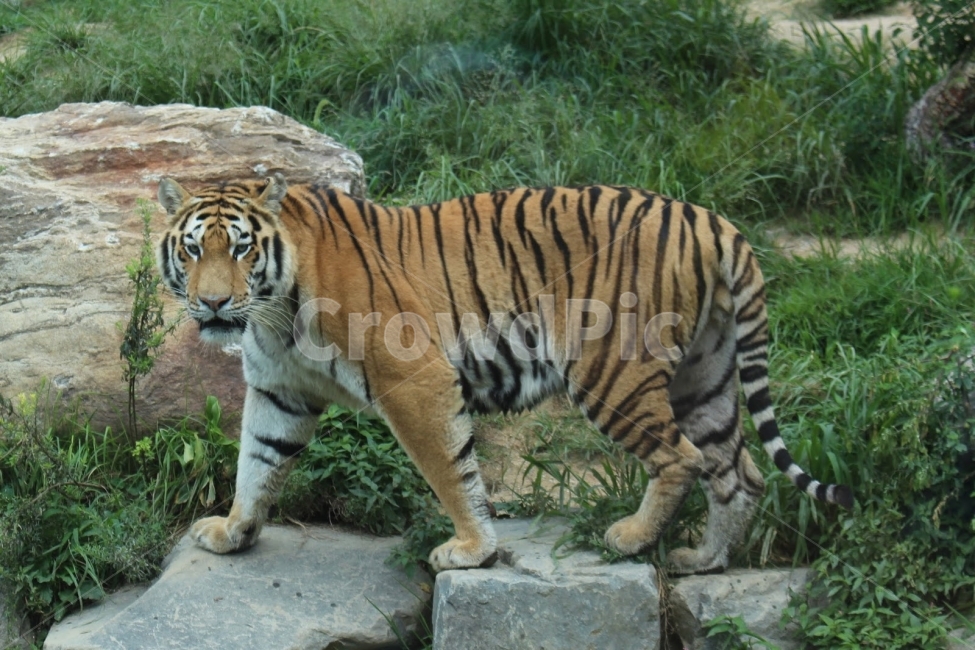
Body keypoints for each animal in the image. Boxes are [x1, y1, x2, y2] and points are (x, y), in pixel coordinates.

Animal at [156, 174, 853, 575]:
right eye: (192, 249)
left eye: (241, 248)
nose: (213, 304)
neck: (273, 310)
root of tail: (712, 219)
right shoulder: (280, 390)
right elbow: (256, 462)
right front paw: (234, 531)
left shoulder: (415, 379)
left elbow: (451, 472)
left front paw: (472, 551)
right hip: (704, 376)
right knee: (739, 473)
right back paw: (703, 560)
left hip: (613, 371)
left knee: (684, 458)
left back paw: (629, 540)